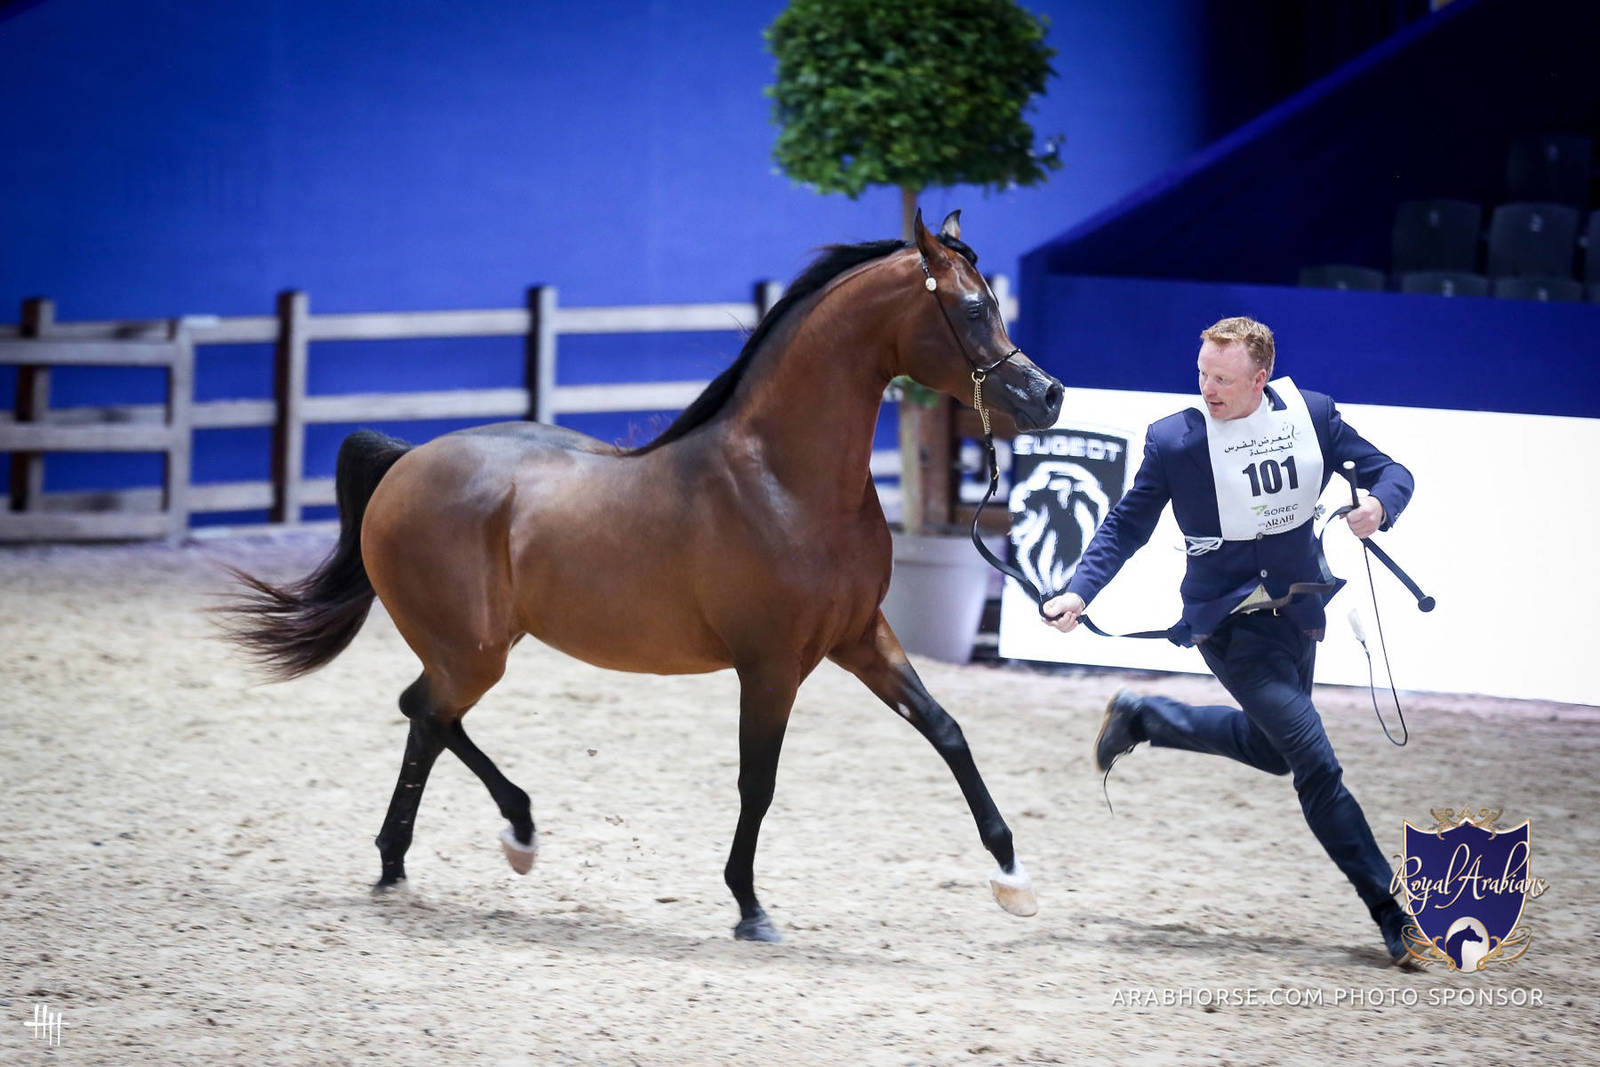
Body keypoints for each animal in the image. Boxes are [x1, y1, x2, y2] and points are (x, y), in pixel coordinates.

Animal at [221, 209, 1065, 942]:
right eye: (970, 307)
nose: (1048, 395)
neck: (783, 479)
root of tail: (404, 461)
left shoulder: (859, 636)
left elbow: (947, 731)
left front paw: (1015, 878)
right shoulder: (771, 665)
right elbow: (757, 781)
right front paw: (749, 907)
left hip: (478, 648)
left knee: (425, 716)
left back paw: (420, 856)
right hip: (474, 650)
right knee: (428, 711)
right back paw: (498, 835)